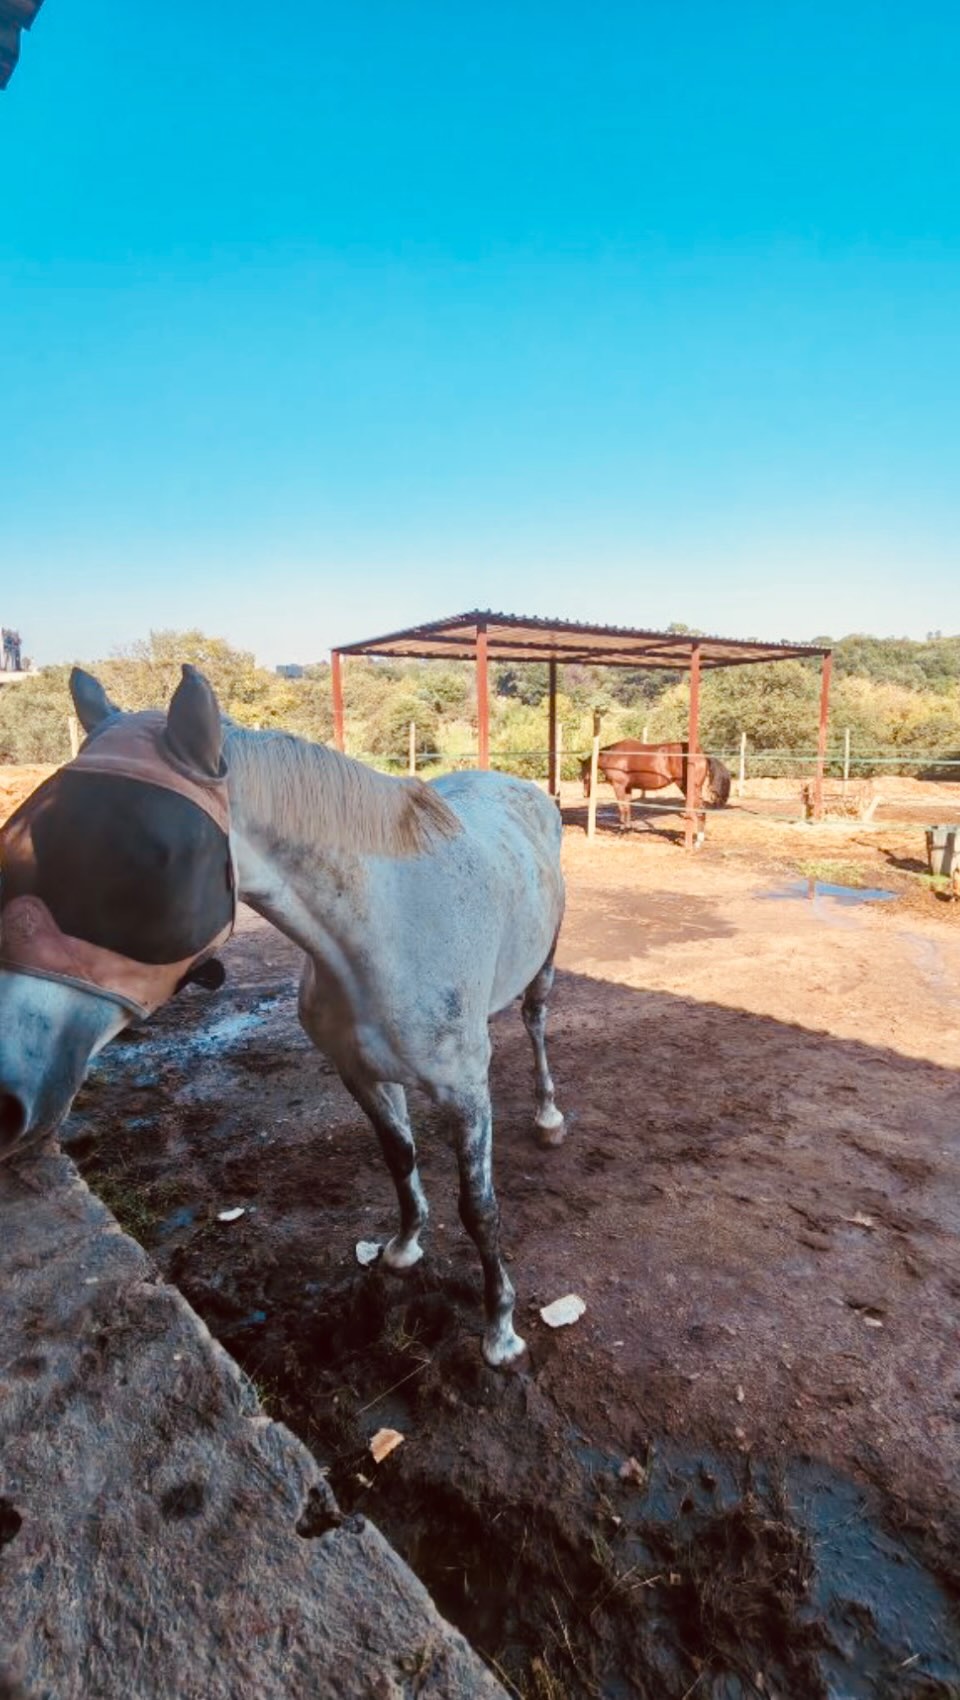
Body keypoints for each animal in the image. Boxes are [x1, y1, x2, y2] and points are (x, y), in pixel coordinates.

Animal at [0, 665, 566, 1368]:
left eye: (147, 859)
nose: (6, 1101)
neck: (384, 936)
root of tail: (526, 790)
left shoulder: (465, 1091)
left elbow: (480, 1208)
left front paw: (501, 1331)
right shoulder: (360, 1074)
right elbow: (399, 1157)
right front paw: (404, 1247)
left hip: (543, 967)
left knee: (536, 1024)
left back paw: (548, 1116)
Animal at [580, 739, 731, 830]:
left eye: (584, 774)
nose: (585, 794)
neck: (614, 755)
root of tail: (702, 755)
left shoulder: (619, 786)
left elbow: (622, 807)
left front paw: (622, 828)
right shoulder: (628, 788)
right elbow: (628, 808)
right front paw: (627, 826)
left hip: (689, 788)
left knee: (700, 811)